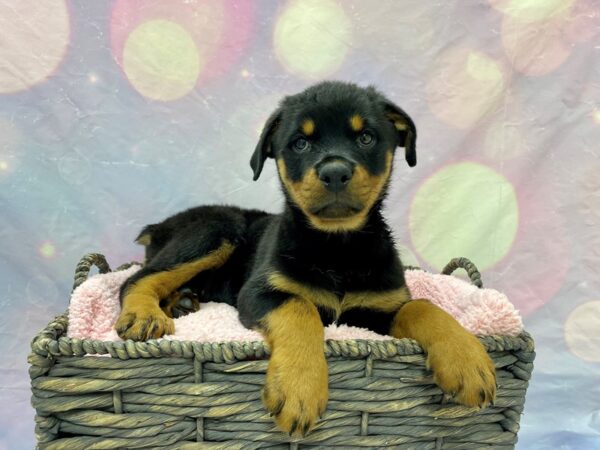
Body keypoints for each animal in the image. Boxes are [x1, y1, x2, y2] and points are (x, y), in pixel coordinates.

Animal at [115, 80, 494, 436]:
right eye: (300, 143)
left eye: (366, 137)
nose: (335, 172)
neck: (336, 247)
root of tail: (158, 226)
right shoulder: (257, 293)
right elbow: (301, 307)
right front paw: (300, 390)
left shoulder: (379, 309)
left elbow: (422, 306)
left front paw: (469, 361)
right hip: (216, 230)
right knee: (135, 278)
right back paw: (145, 315)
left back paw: (181, 302)